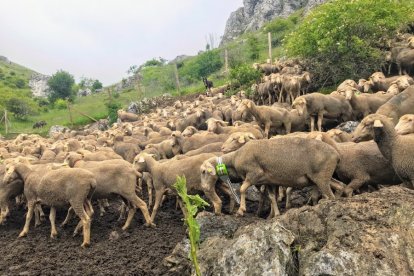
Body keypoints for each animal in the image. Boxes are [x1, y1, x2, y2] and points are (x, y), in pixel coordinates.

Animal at [201, 137, 340, 216]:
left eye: (203, 171)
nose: (204, 187)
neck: (234, 159)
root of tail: (336, 154)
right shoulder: (269, 181)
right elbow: (272, 197)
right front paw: (276, 214)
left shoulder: (255, 174)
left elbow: (242, 189)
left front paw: (241, 210)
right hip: (321, 177)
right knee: (339, 186)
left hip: (321, 178)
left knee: (331, 196)